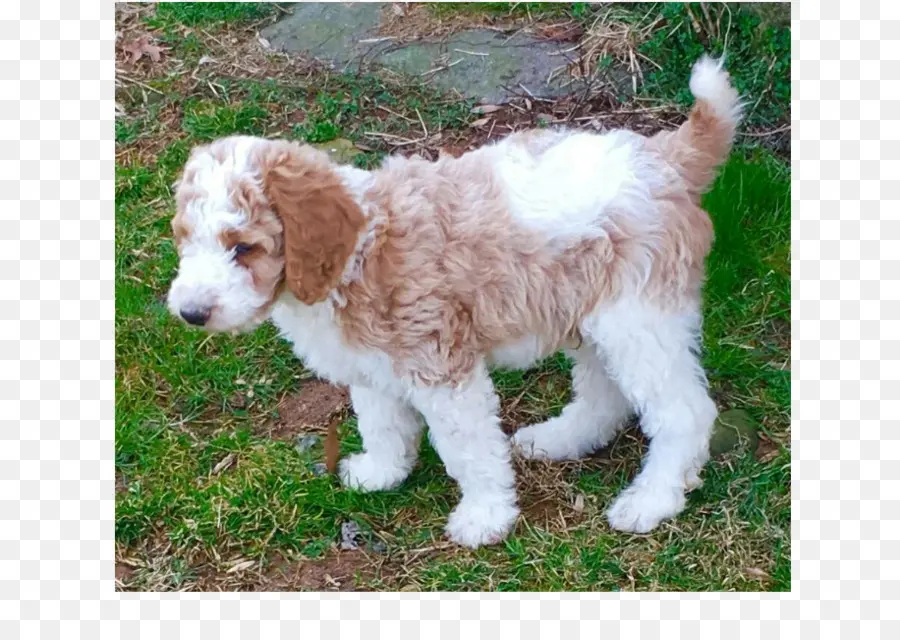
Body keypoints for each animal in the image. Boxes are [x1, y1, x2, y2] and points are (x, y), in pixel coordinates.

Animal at [167, 55, 740, 548]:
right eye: (185, 238)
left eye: (243, 247)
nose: (190, 314)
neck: (361, 250)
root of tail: (664, 158)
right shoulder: (371, 365)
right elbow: (381, 423)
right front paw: (380, 472)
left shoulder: (442, 369)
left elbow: (469, 449)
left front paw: (485, 517)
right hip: (592, 314)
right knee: (606, 394)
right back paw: (559, 439)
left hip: (637, 320)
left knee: (684, 412)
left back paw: (651, 501)